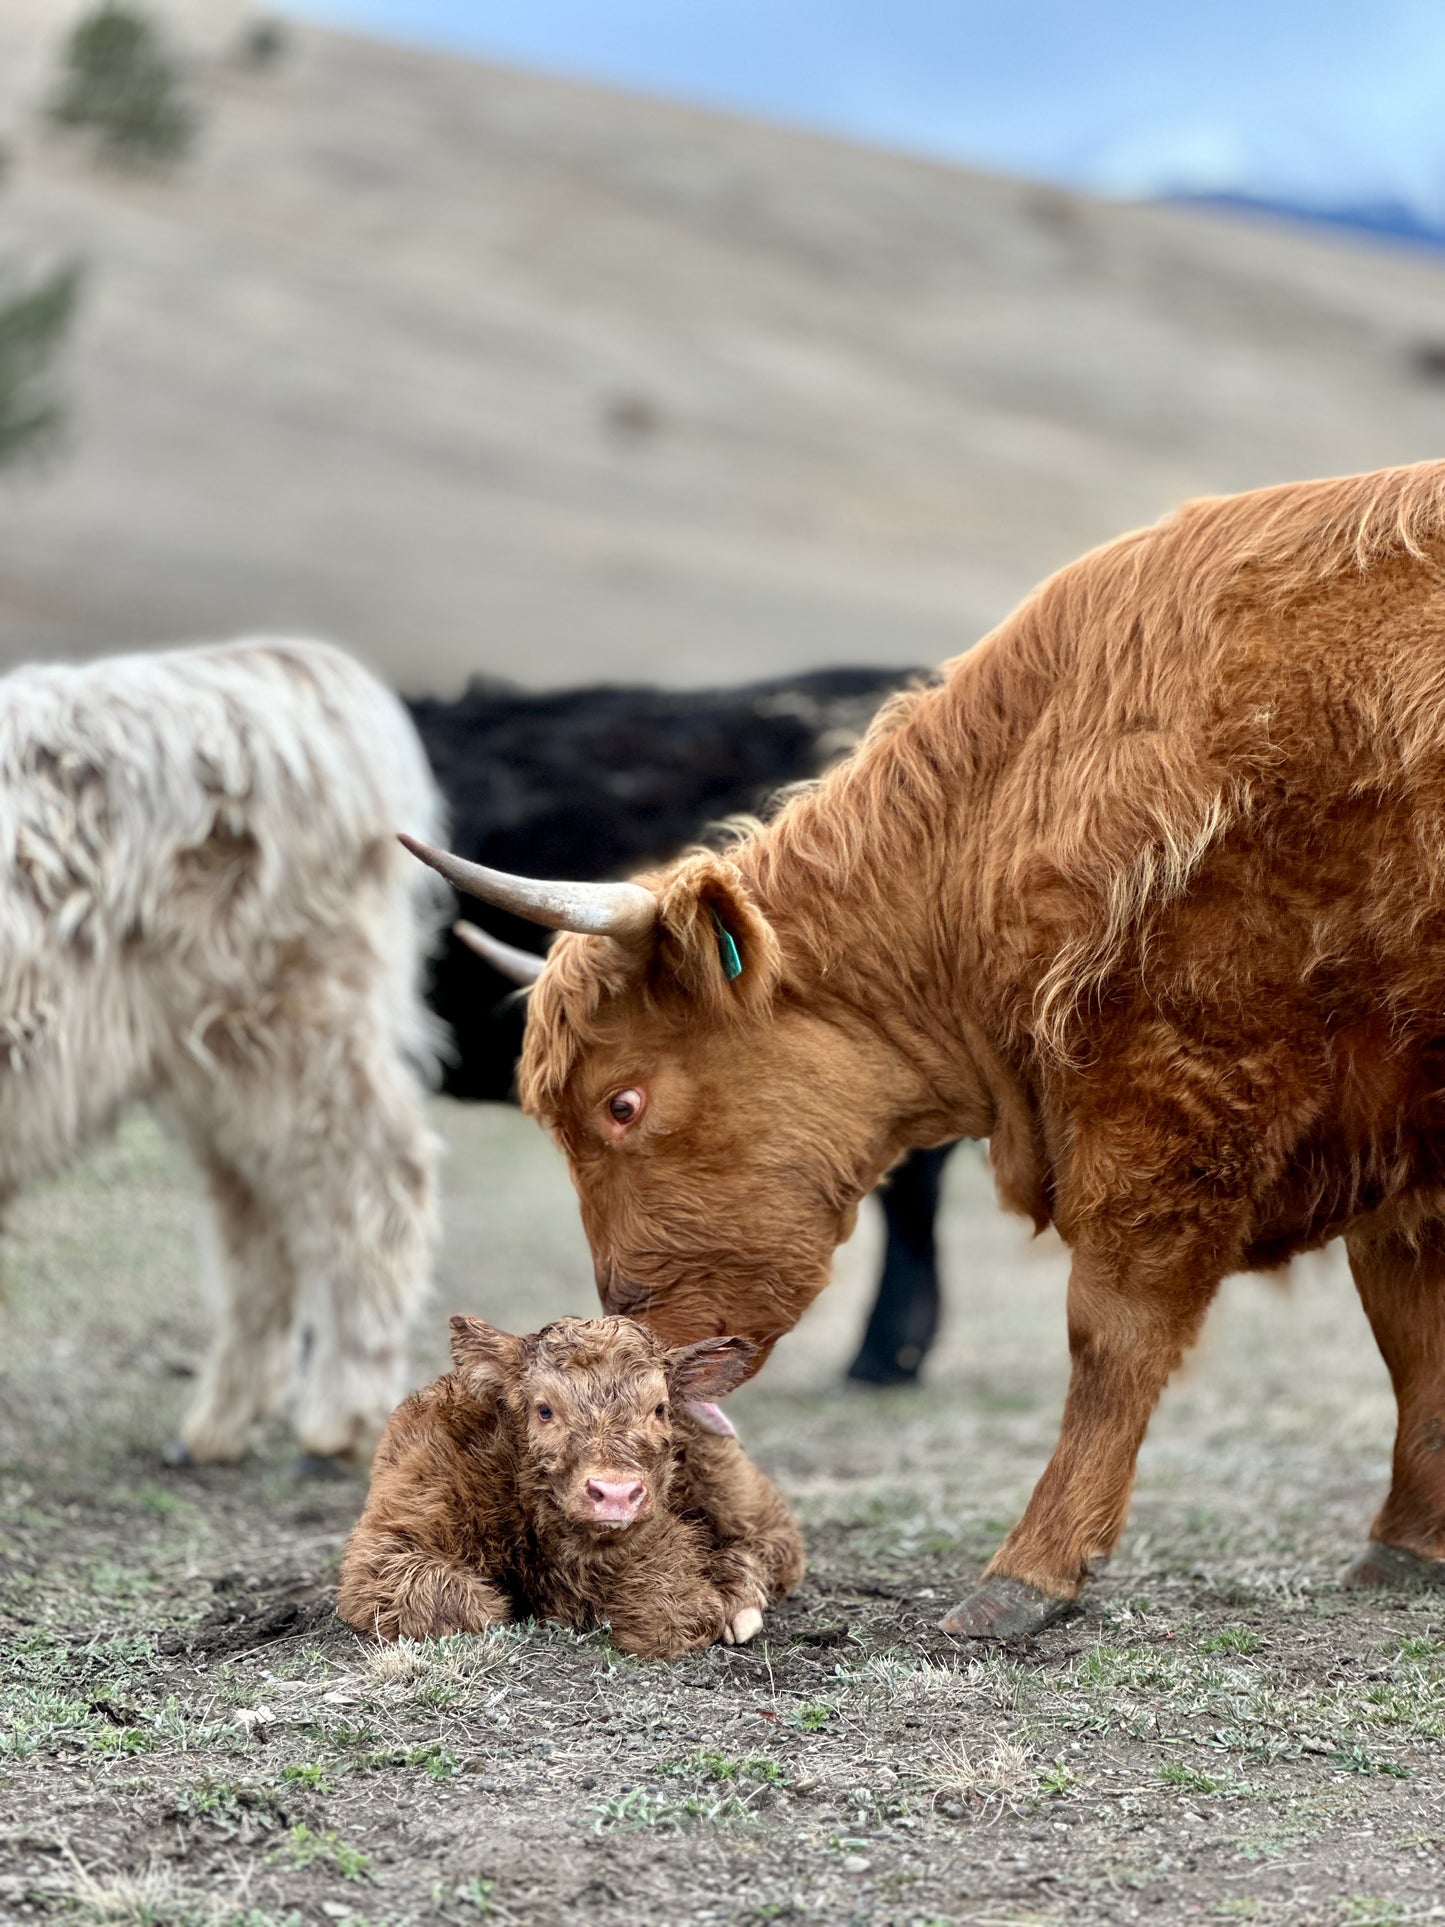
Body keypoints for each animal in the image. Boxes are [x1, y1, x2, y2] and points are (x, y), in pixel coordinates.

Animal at [0, 638, 442, 1465]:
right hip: (213, 1066)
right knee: (257, 1217)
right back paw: (221, 1422)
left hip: (289, 1033)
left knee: (372, 1179)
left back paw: (344, 1414)